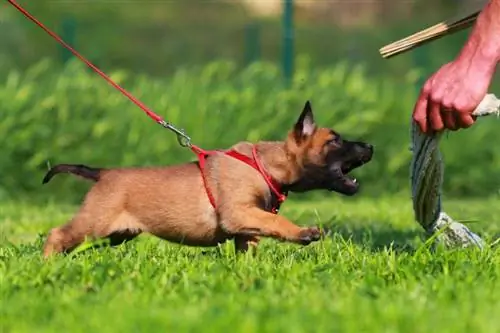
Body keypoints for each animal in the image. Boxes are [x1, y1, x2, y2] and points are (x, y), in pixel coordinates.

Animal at [41, 101, 374, 256]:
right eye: (334, 141)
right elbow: (277, 221)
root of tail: (102, 173)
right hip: (93, 224)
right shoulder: (239, 212)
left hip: (112, 235)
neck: (267, 165)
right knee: (57, 235)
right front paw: (304, 232)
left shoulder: (246, 229)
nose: (370, 146)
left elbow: (256, 241)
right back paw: (47, 264)